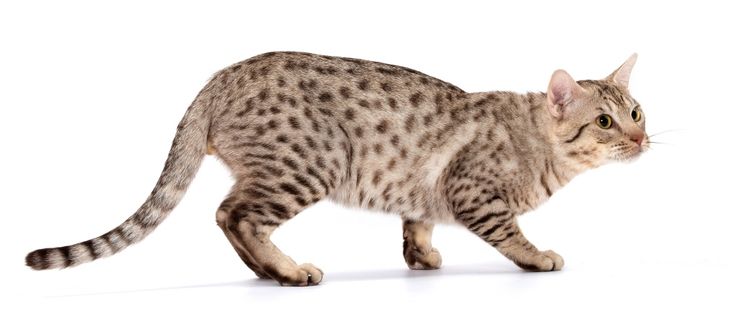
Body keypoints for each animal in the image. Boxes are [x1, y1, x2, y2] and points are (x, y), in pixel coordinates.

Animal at [23, 51, 648, 286]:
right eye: (605, 122)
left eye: (637, 112)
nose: (642, 139)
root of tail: (218, 79)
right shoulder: (474, 192)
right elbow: (512, 235)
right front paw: (539, 257)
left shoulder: (422, 191)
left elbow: (416, 225)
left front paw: (422, 258)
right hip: (306, 165)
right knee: (234, 214)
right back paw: (288, 270)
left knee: (227, 217)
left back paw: (266, 271)